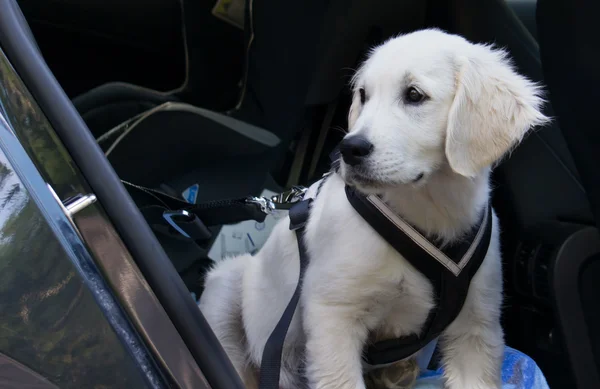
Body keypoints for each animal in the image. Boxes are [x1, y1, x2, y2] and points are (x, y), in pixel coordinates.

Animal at [200, 28, 548, 388]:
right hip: (227, 282)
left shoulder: (477, 325)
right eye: (364, 95)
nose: (348, 149)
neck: (430, 208)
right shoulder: (333, 313)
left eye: (414, 95)